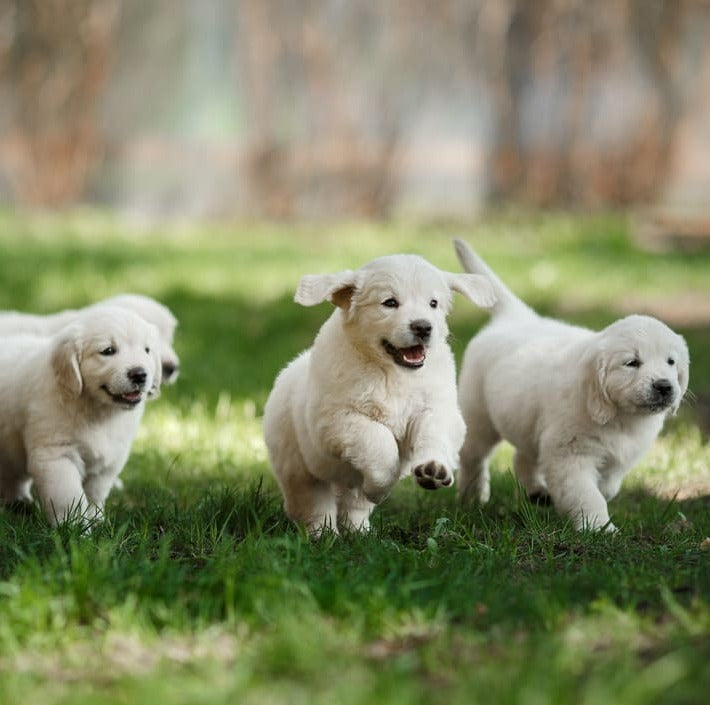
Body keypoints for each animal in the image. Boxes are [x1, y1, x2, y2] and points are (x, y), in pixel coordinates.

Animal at [0, 304, 161, 524]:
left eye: (147, 350)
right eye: (108, 351)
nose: (139, 374)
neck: (97, 410)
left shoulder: (110, 460)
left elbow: (95, 493)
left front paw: (97, 519)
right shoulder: (56, 456)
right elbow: (69, 495)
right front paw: (74, 526)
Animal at [264, 253, 498, 532]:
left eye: (433, 303)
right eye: (390, 303)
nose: (423, 327)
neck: (392, 372)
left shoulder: (437, 408)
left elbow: (433, 433)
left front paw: (433, 469)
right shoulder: (336, 419)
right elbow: (378, 440)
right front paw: (381, 487)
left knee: (354, 505)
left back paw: (359, 532)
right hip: (298, 465)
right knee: (313, 504)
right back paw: (325, 534)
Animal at [454, 236, 692, 528]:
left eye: (671, 362)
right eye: (632, 363)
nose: (664, 386)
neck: (620, 417)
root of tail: (516, 317)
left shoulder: (618, 458)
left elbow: (608, 486)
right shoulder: (570, 454)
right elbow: (586, 494)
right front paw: (598, 528)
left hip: (528, 421)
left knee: (523, 456)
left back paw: (537, 492)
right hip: (478, 415)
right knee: (472, 457)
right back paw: (472, 497)